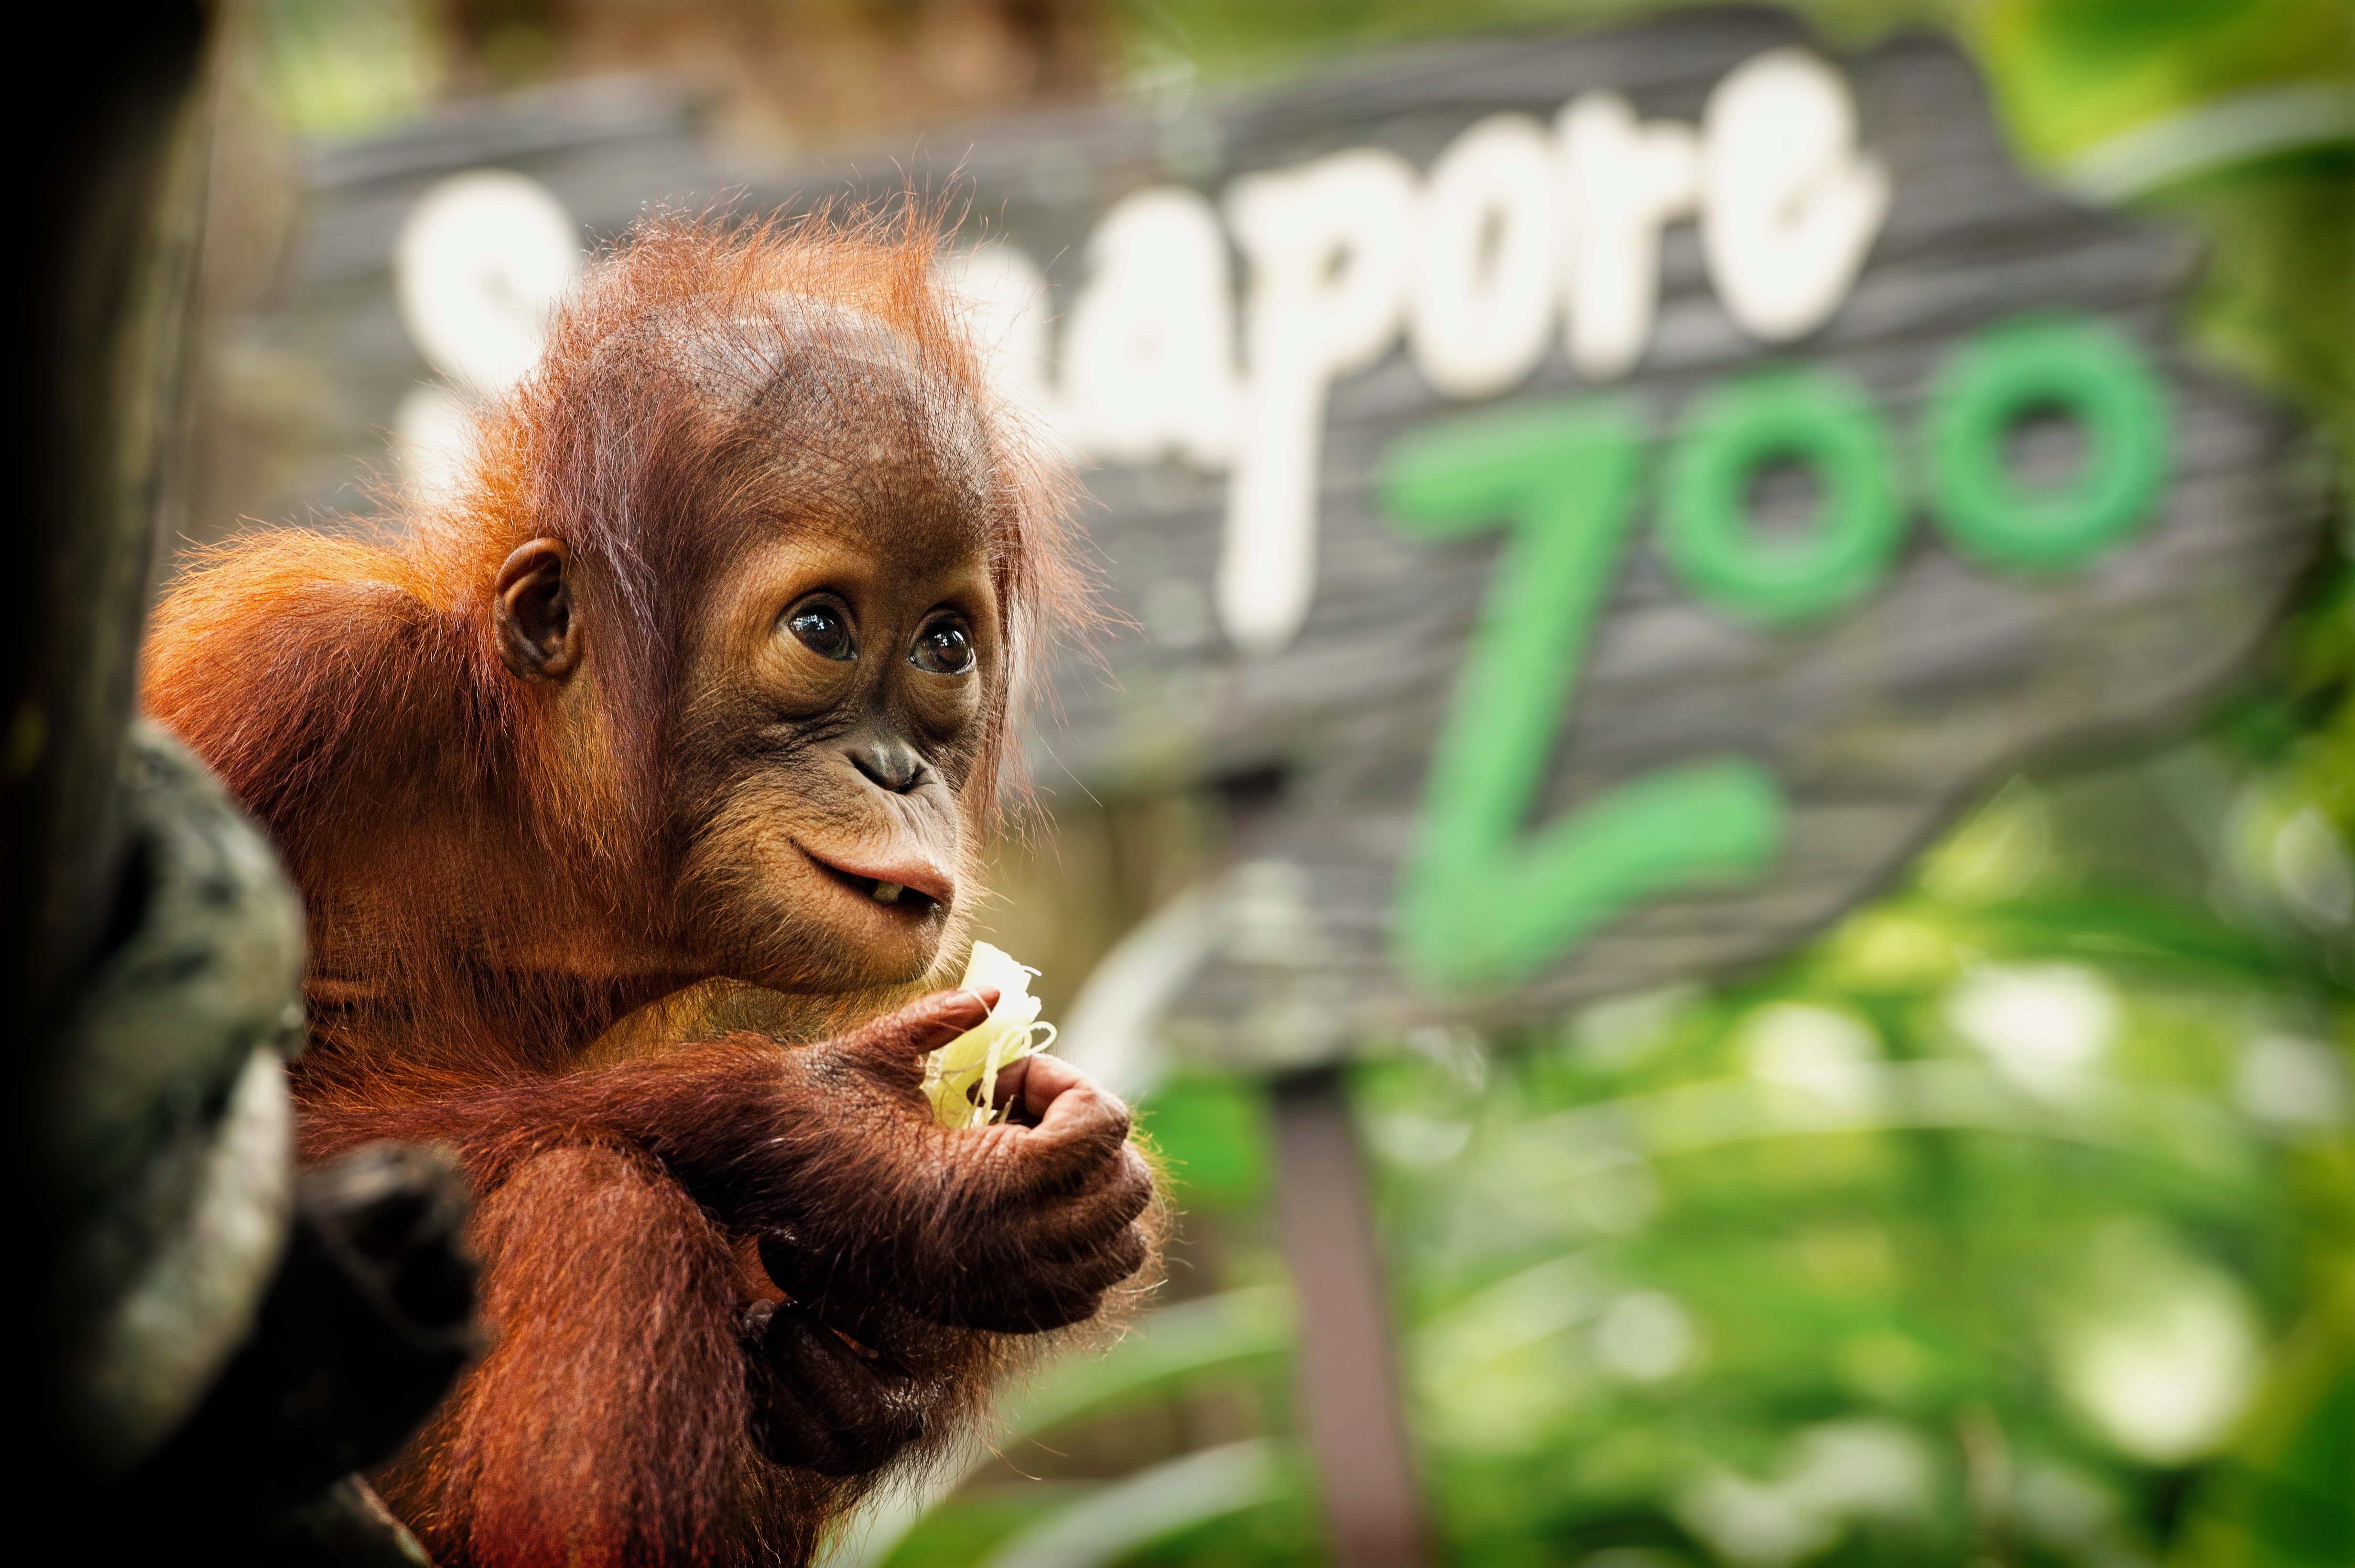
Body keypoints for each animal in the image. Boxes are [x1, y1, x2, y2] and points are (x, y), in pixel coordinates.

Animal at [141, 212, 1160, 1567]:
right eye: (824, 628)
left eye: (943, 643)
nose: (896, 769)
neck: (540, 824)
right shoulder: (278, 678)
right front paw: (871, 1159)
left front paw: (895, 1350)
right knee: (596, 1205)